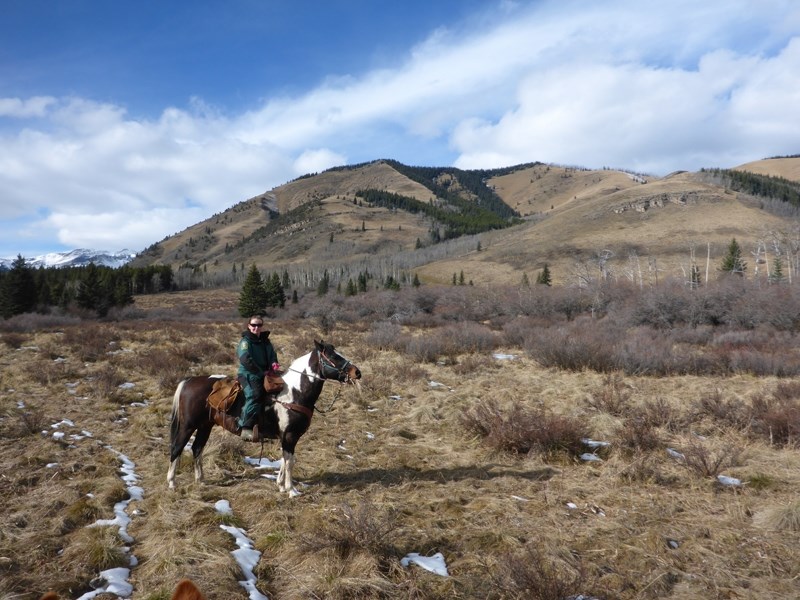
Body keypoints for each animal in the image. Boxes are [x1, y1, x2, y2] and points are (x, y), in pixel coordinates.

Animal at [167, 340, 360, 494]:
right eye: (333, 356)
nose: (357, 372)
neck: (295, 392)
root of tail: (189, 381)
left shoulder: (287, 437)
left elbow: (286, 459)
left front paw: (281, 485)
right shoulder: (290, 436)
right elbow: (290, 461)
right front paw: (291, 490)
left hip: (205, 425)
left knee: (197, 448)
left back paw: (200, 480)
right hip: (188, 425)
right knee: (177, 448)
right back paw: (172, 483)